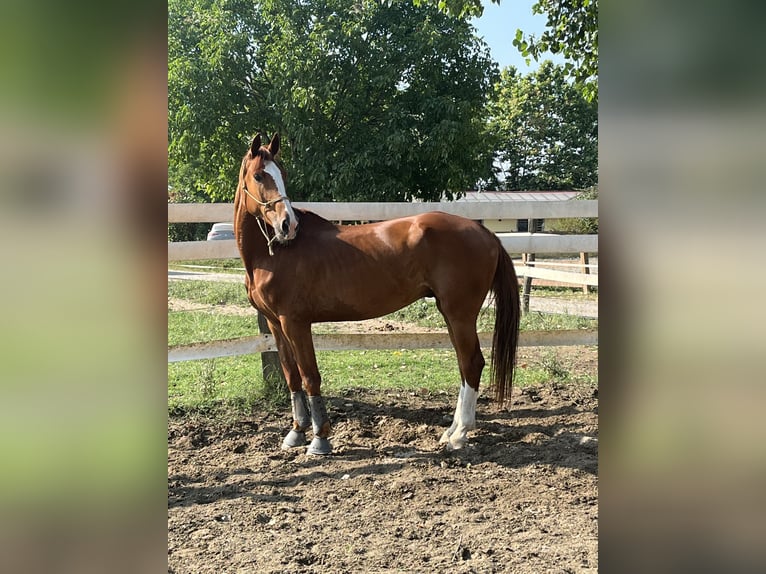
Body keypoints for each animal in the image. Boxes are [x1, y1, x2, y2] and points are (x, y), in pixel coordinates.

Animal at [234, 133, 520, 455]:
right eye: (259, 175)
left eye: (282, 174)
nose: (288, 224)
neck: (273, 255)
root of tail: (485, 233)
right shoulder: (275, 323)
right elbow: (292, 377)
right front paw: (295, 433)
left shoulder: (296, 323)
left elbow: (310, 377)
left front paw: (320, 440)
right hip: (451, 315)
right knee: (464, 364)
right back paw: (451, 432)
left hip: (460, 314)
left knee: (471, 363)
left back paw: (459, 435)